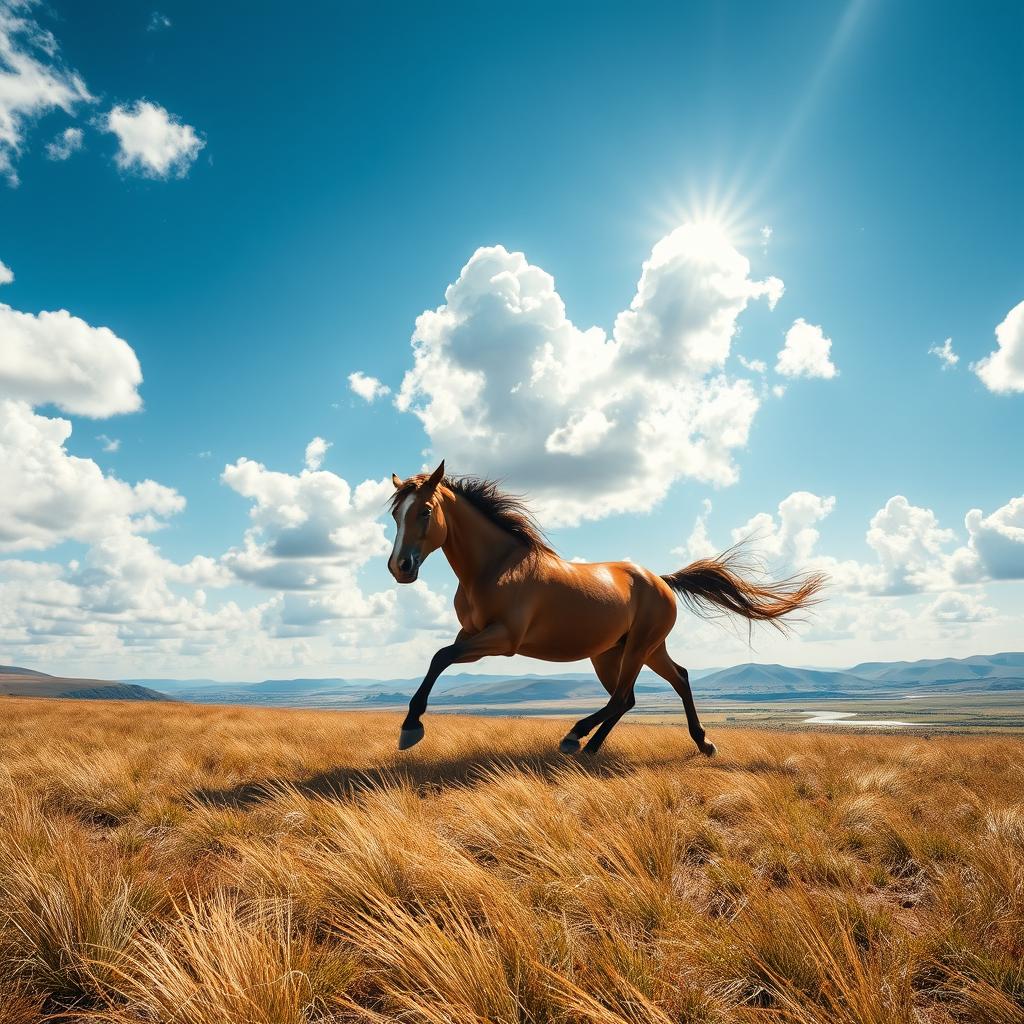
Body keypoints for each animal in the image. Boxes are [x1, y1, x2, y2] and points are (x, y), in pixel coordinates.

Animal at [387, 462, 825, 755]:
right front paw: (411, 725)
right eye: (395, 513)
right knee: (663, 684)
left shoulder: (503, 638)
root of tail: (661, 580)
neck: (496, 566)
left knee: (623, 697)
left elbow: (440, 655)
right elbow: (440, 658)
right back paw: (695, 743)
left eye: (425, 511)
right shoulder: (472, 634)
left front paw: (410, 728)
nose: (399, 567)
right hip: (626, 650)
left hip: (638, 647)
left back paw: (577, 738)